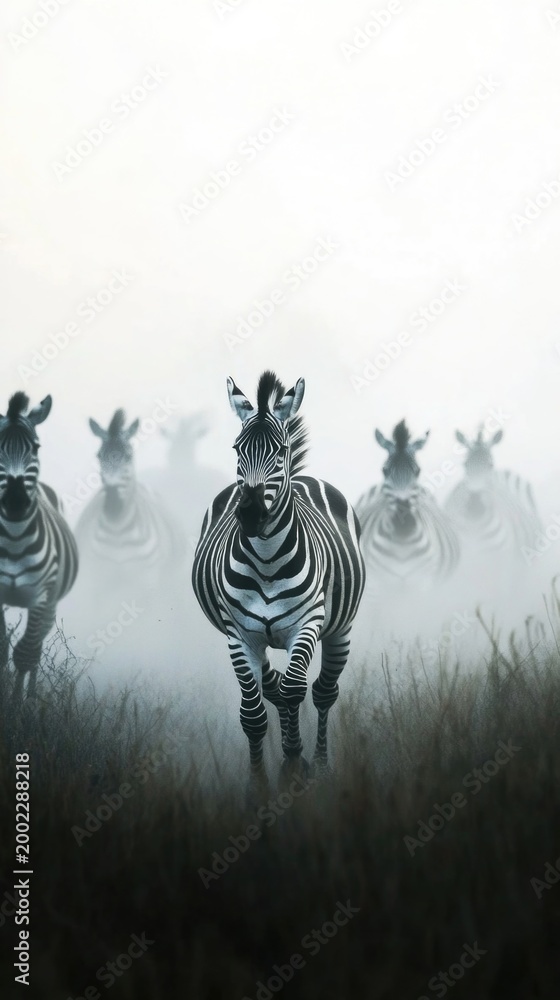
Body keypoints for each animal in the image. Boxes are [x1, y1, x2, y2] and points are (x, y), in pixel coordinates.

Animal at [0, 392, 78, 699]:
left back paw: (32, 696)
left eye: (35, 447)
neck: (13, 538)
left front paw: (18, 707)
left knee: (36, 647)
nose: (15, 501)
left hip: (50, 604)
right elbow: (3, 645)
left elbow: (25, 654)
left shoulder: (42, 596)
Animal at [74, 409, 185, 600]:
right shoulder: (92, 581)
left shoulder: (148, 582)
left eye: (129, 456)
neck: (117, 531)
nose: (111, 506)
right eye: (98, 456)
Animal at [192, 371, 365, 790]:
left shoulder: (308, 624)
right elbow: (254, 714)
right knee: (275, 689)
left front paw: (293, 765)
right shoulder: (238, 635)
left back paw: (318, 763)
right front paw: (259, 784)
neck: (267, 559)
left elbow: (294, 690)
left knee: (320, 691)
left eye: (280, 450)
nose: (251, 515)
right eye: (237, 449)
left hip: (341, 628)